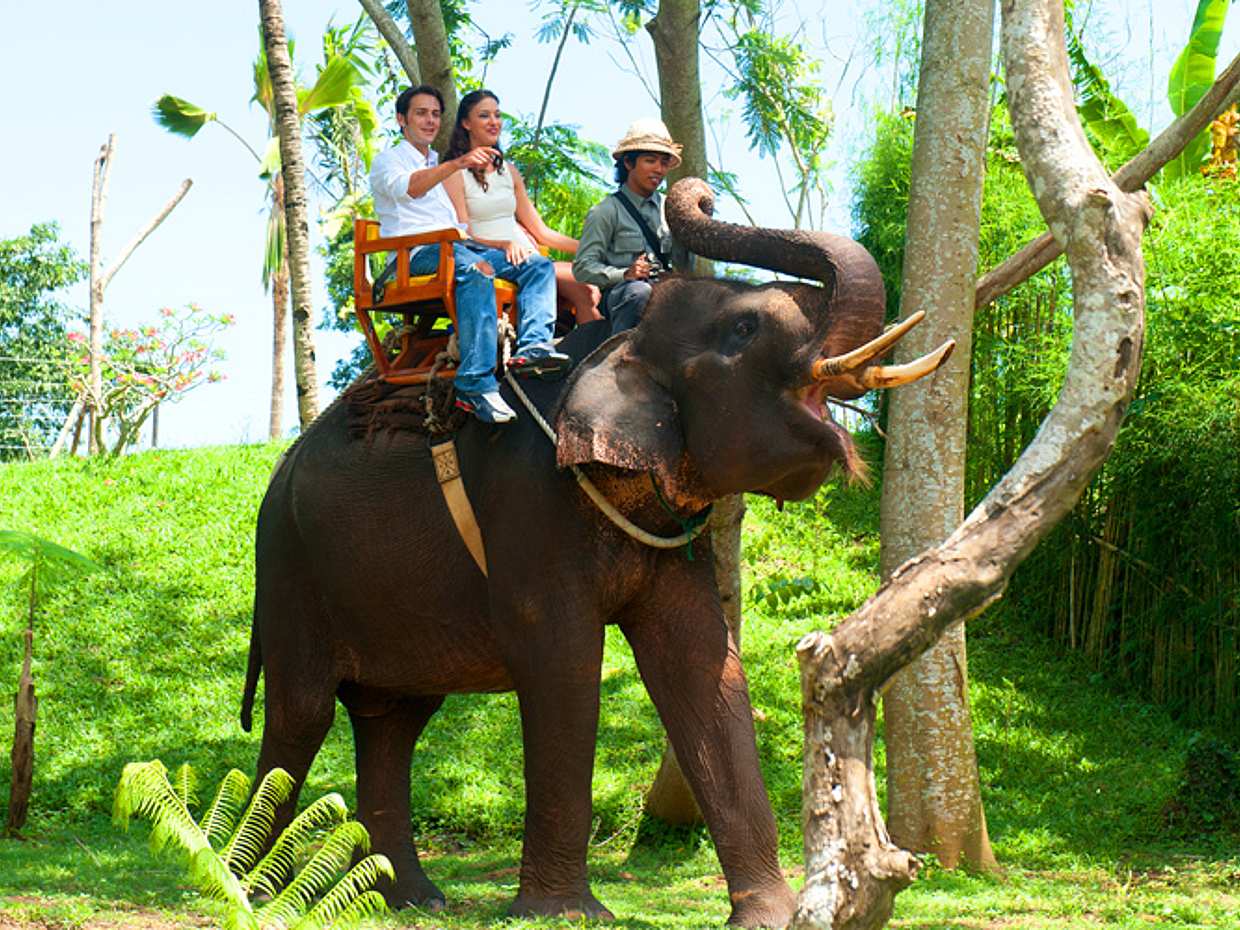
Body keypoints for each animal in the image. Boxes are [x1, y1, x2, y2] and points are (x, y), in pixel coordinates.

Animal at [240, 178, 949, 928]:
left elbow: (701, 660)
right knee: (302, 713)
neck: (617, 342)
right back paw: (254, 889)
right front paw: (564, 913)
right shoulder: (528, 503)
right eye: (745, 330)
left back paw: (410, 899)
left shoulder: (673, 535)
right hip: (287, 567)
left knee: (394, 719)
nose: (697, 191)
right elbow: (561, 660)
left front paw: (772, 917)